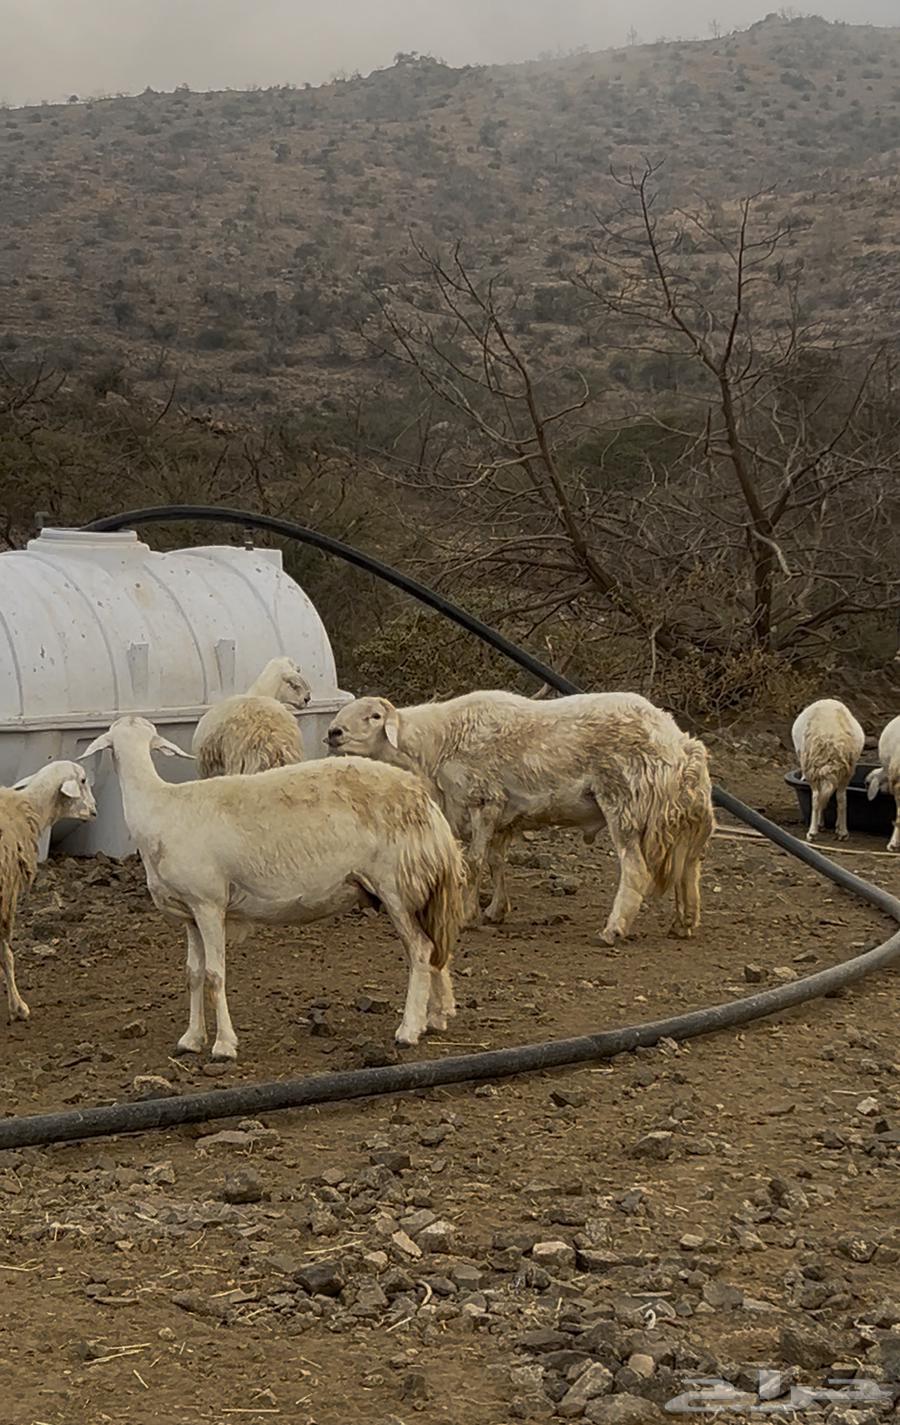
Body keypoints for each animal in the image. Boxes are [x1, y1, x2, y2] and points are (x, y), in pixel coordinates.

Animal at [0, 762, 96, 1021]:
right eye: (83, 780)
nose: (95, 810)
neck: (29, 806)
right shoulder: (7, 895)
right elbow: (7, 955)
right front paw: (18, 1007)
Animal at [81, 716, 466, 1057]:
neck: (158, 808)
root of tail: (428, 806)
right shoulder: (188, 912)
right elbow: (193, 974)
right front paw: (191, 1039)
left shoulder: (209, 903)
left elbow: (215, 975)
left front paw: (224, 1046)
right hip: (418, 888)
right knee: (434, 947)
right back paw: (435, 1018)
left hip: (396, 885)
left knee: (419, 950)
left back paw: (408, 1030)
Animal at [326, 690, 714, 945]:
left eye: (375, 716)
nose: (333, 733)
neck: (434, 745)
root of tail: (680, 743)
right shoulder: (503, 815)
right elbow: (497, 861)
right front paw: (496, 910)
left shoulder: (483, 799)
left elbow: (475, 861)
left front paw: (466, 915)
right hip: (679, 816)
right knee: (689, 867)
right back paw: (684, 923)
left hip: (625, 802)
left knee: (636, 869)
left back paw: (613, 929)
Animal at [791, 698, 865, 843]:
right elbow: (837, 799)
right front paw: (840, 830)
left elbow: (817, 800)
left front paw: (815, 828)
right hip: (846, 772)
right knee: (841, 798)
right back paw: (842, 831)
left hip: (814, 770)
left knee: (817, 798)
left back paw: (814, 831)